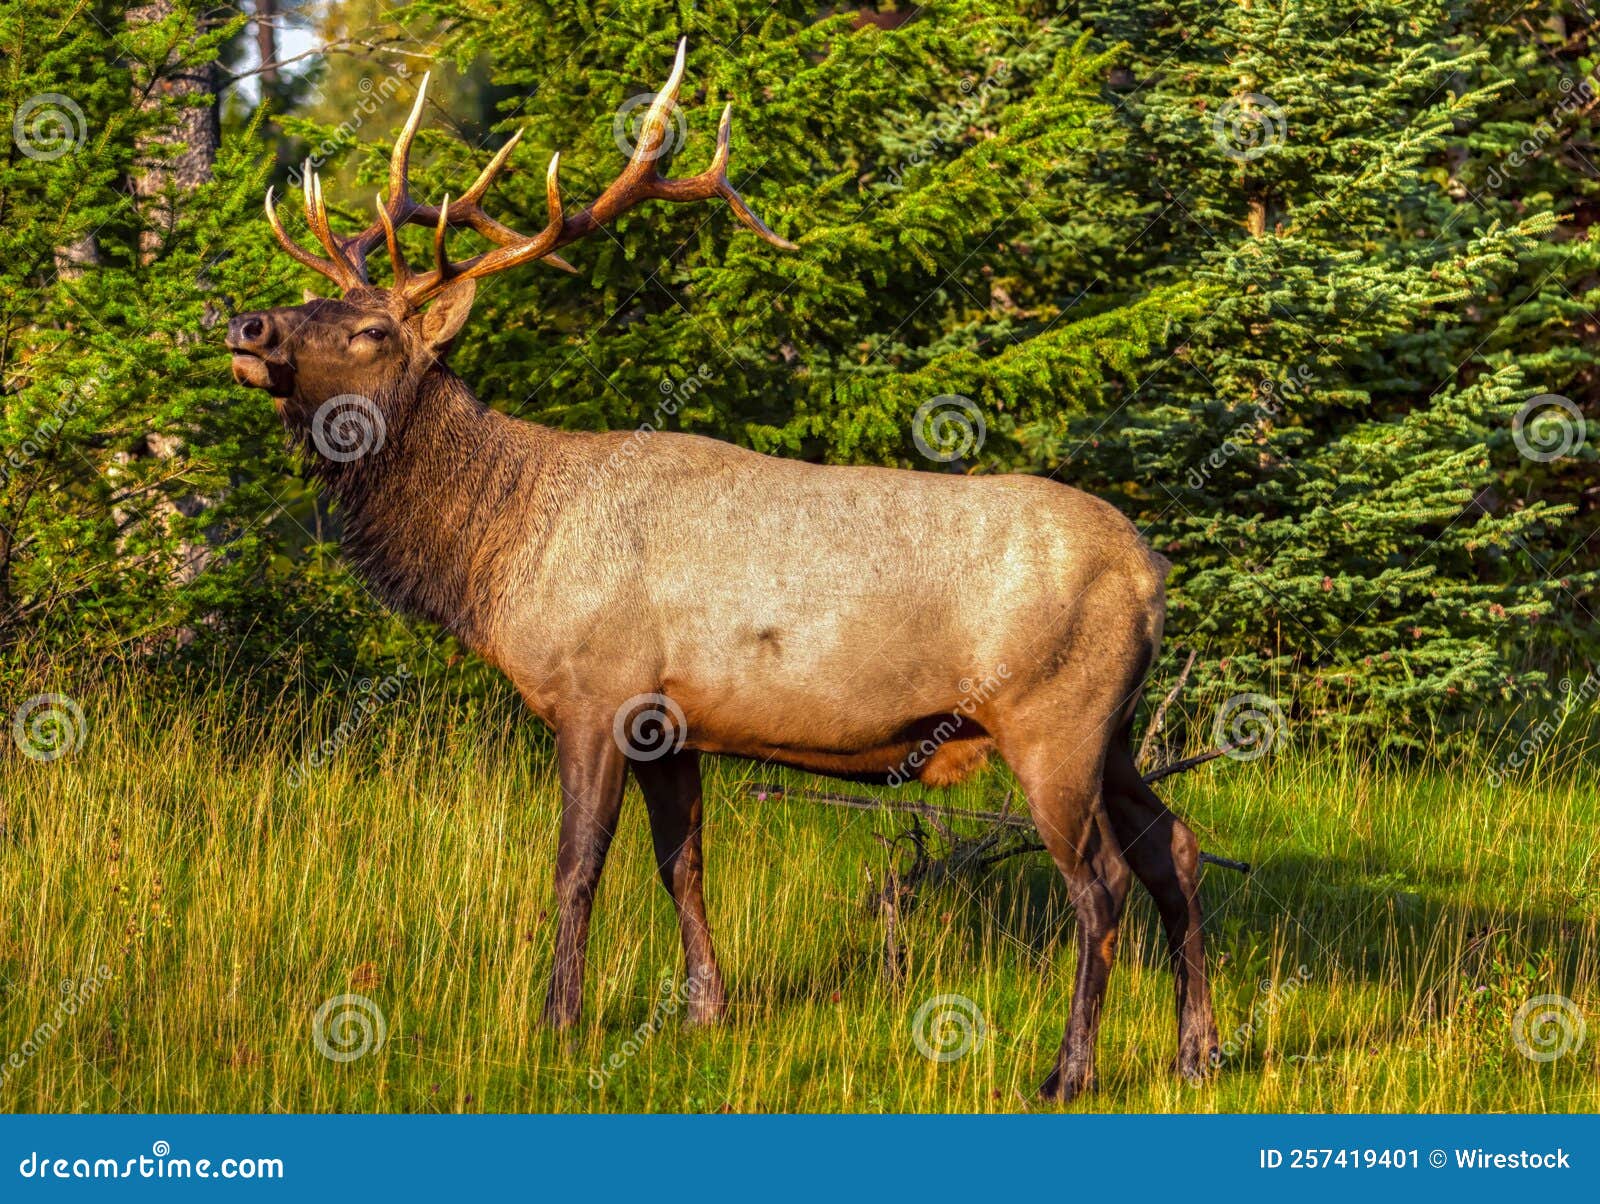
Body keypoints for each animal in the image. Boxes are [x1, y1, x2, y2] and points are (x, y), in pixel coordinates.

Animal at [224, 40, 1220, 1103]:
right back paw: (1197, 1052)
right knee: (1175, 847)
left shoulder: (600, 692)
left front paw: (557, 1022)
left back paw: (1070, 1072)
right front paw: (707, 1010)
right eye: (312, 301)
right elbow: (683, 864)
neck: (500, 553)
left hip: (1052, 719)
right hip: (1114, 728)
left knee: (1099, 884)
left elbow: (578, 867)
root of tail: (1153, 573)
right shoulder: (673, 725)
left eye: (372, 331)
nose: (248, 327)